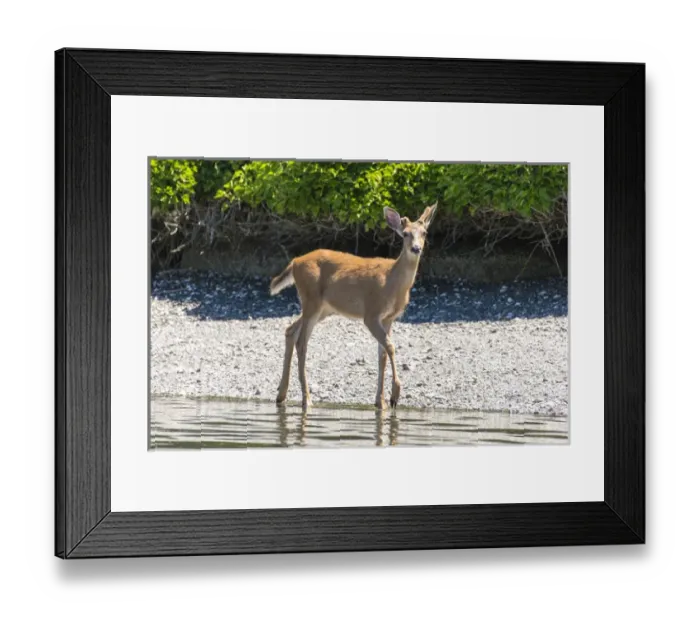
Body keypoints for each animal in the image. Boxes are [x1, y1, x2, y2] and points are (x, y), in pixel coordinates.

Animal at [269, 202, 437, 411]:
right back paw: (306, 399)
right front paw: (394, 395)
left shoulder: (389, 318)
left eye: (424, 232)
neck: (392, 282)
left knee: (290, 330)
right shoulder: (371, 313)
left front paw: (380, 401)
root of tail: (294, 262)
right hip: (311, 299)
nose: (416, 248)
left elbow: (382, 353)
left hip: (323, 308)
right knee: (302, 342)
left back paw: (281, 395)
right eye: (405, 233)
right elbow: (390, 347)